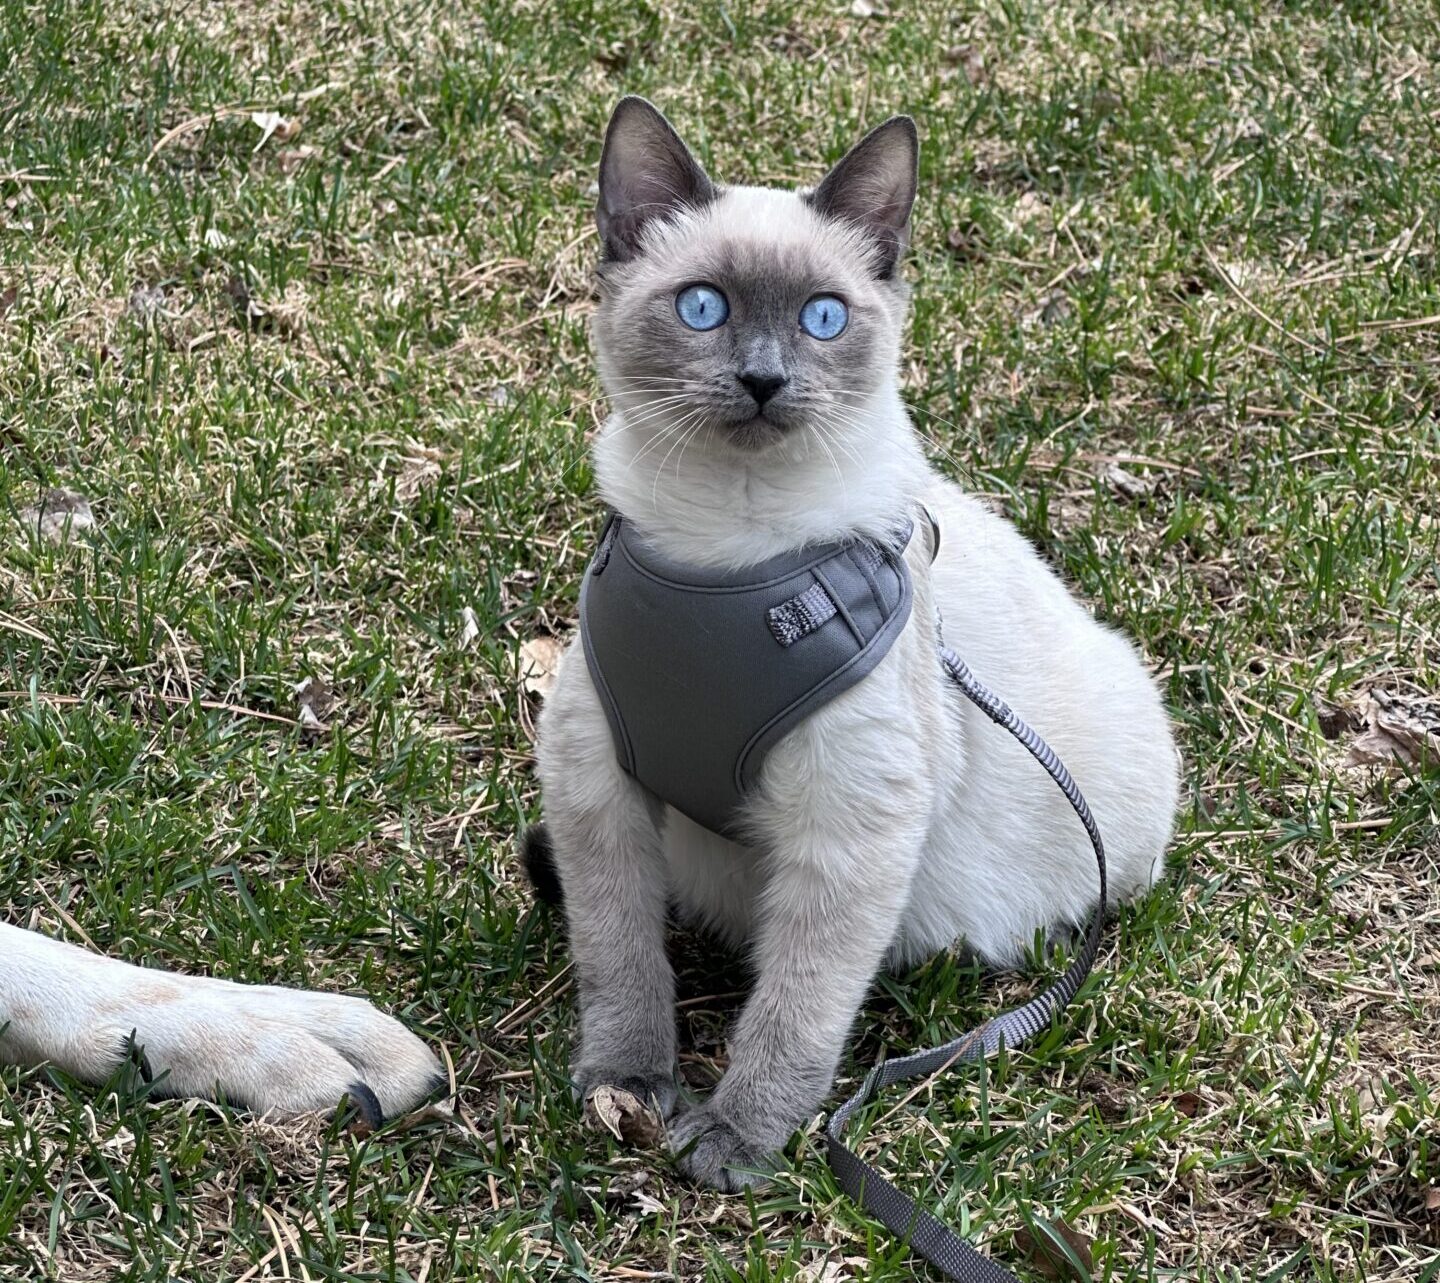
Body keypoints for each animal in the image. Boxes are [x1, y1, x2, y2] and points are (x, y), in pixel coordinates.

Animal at [531, 96, 1178, 1191]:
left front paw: (734, 1144)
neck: (728, 551)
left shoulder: (846, 832)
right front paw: (628, 1088)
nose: (761, 379)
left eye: (822, 318)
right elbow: (624, 967)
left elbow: (794, 1013)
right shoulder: (598, 795)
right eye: (701, 307)